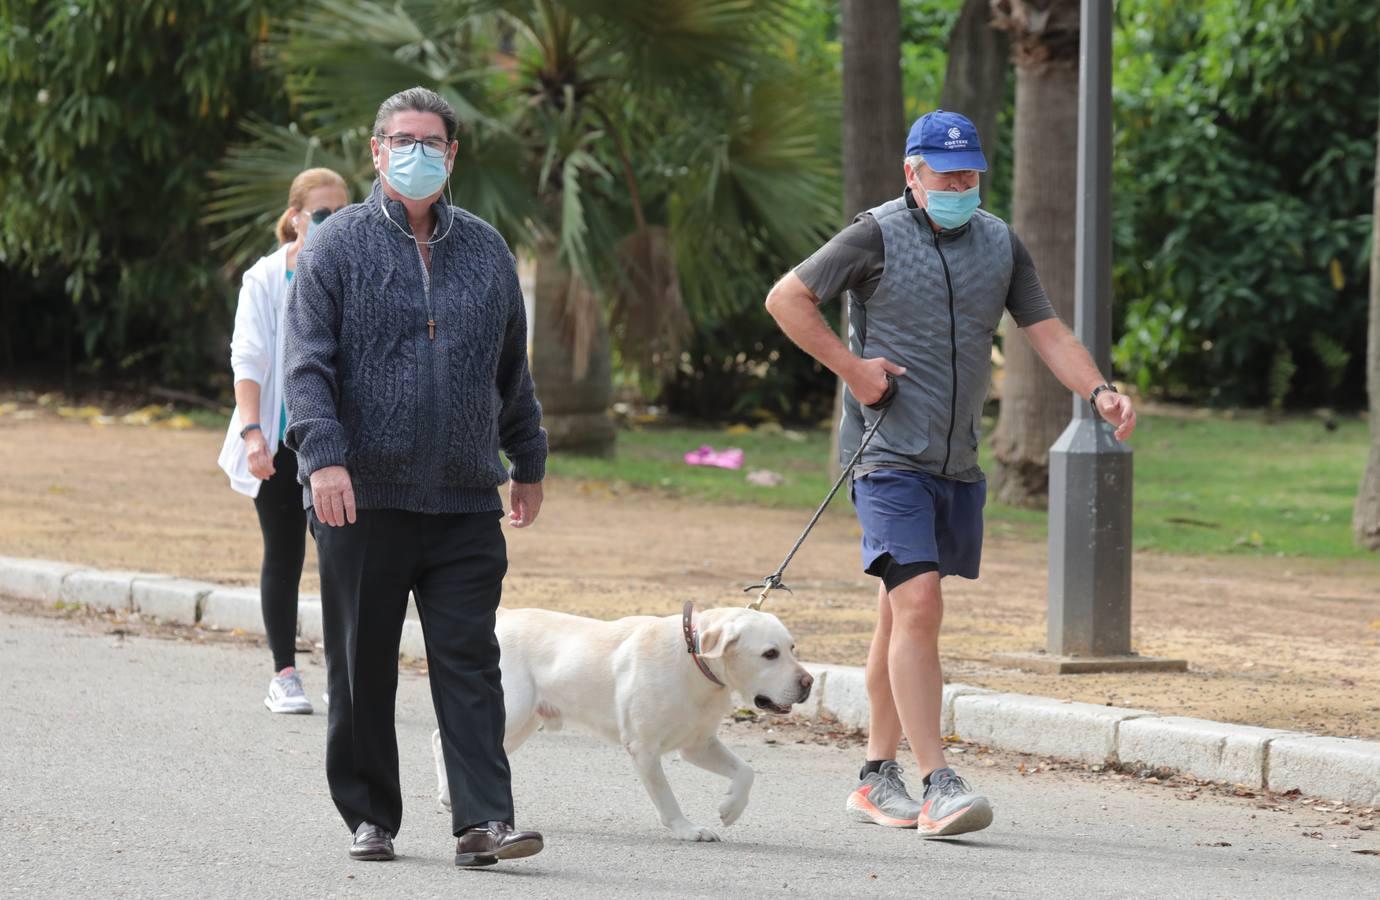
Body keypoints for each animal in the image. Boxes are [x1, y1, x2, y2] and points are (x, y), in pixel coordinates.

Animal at [436, 604, 811, 844]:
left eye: (793, 647)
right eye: (770, 654)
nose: (808, 683)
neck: (694, 661)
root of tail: (504, 615)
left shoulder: (698, 745)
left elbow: (746, 771)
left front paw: (731, 808)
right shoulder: (644, 748)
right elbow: (666, 796)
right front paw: (686, 829)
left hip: (521, 724)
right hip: (509, 711)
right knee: (442, 738)